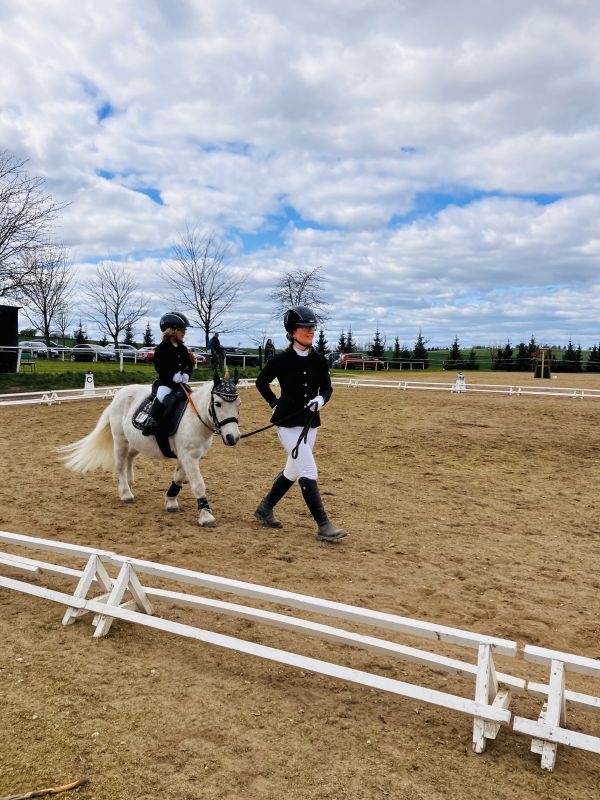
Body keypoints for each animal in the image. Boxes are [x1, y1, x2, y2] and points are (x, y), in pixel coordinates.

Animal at [58, 373, 241, 527]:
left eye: (238, 404)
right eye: (218, 403)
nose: (233, 437)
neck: (194, 418)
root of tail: (120, 394)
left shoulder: (188, 455)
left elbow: (178, 478)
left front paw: (170, 501)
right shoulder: (188, 456)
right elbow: (198, 484)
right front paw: (206, 516)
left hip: (137, 442)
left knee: (129, 459)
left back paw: (130, 484)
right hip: (120, 440)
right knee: (120, 465)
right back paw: (126, 493)